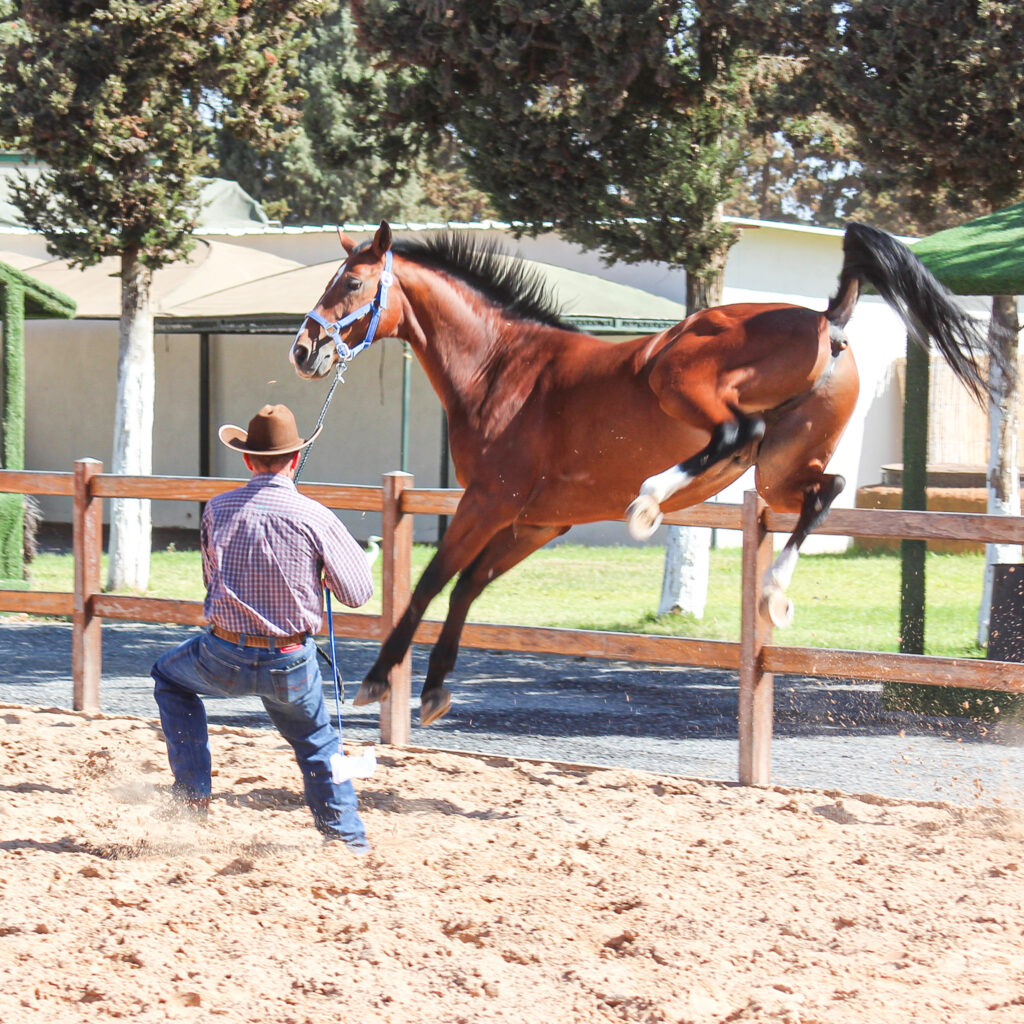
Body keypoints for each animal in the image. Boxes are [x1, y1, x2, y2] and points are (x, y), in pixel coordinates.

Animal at [291, 220, 994, 726]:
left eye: (352, 285)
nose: (304, 350)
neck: (499, 367)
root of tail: (825, 318)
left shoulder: (489, 502)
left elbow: (432, 582)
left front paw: (378, 679)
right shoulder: (537, 523)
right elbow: (466, 587)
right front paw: (434, 690)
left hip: (675, 375)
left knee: (738, 434)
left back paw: (650, 502)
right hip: (781, 470)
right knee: (826, 489)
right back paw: (771, 587)